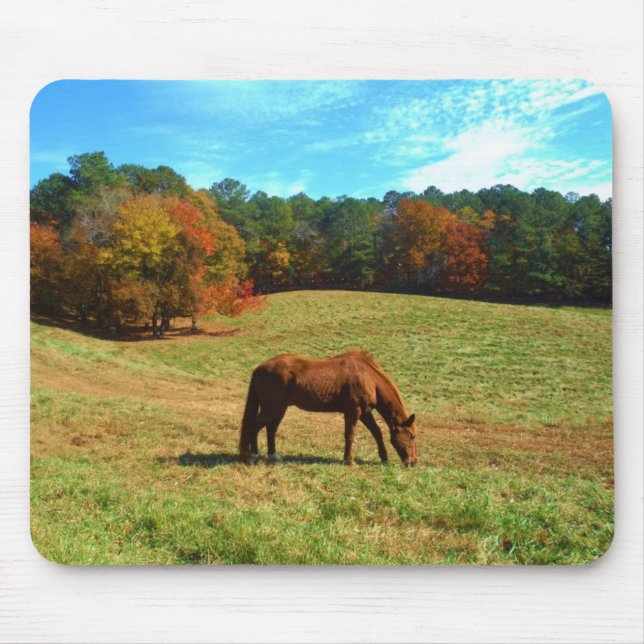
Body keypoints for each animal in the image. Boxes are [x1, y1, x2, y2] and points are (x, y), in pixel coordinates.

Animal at [238, 350, 418, 466]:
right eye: (411, 435)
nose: (413, 462)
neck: (368, 377)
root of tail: (259, 368)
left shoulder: (365, 413)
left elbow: (377, 432)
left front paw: (384, 457)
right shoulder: (353, 411)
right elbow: (350, 435)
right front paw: (349, 461)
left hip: (279, 409)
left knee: (271, 429)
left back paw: (273, 456)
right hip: (272, 408)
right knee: (254, 427)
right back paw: (252, 456)